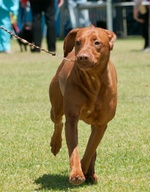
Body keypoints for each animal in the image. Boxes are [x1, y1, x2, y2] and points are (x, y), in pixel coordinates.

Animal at [49, 24, 117, 185]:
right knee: (58, 121)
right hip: (56, 105)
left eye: (97, 42)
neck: (93, 81)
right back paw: (56, 144)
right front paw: (77, 172)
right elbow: (74, 149)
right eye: (78, 42)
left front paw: (85, 170)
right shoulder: (72, 118)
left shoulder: (101, 123)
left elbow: (90, 149)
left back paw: (91, 173)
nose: (82, 57)